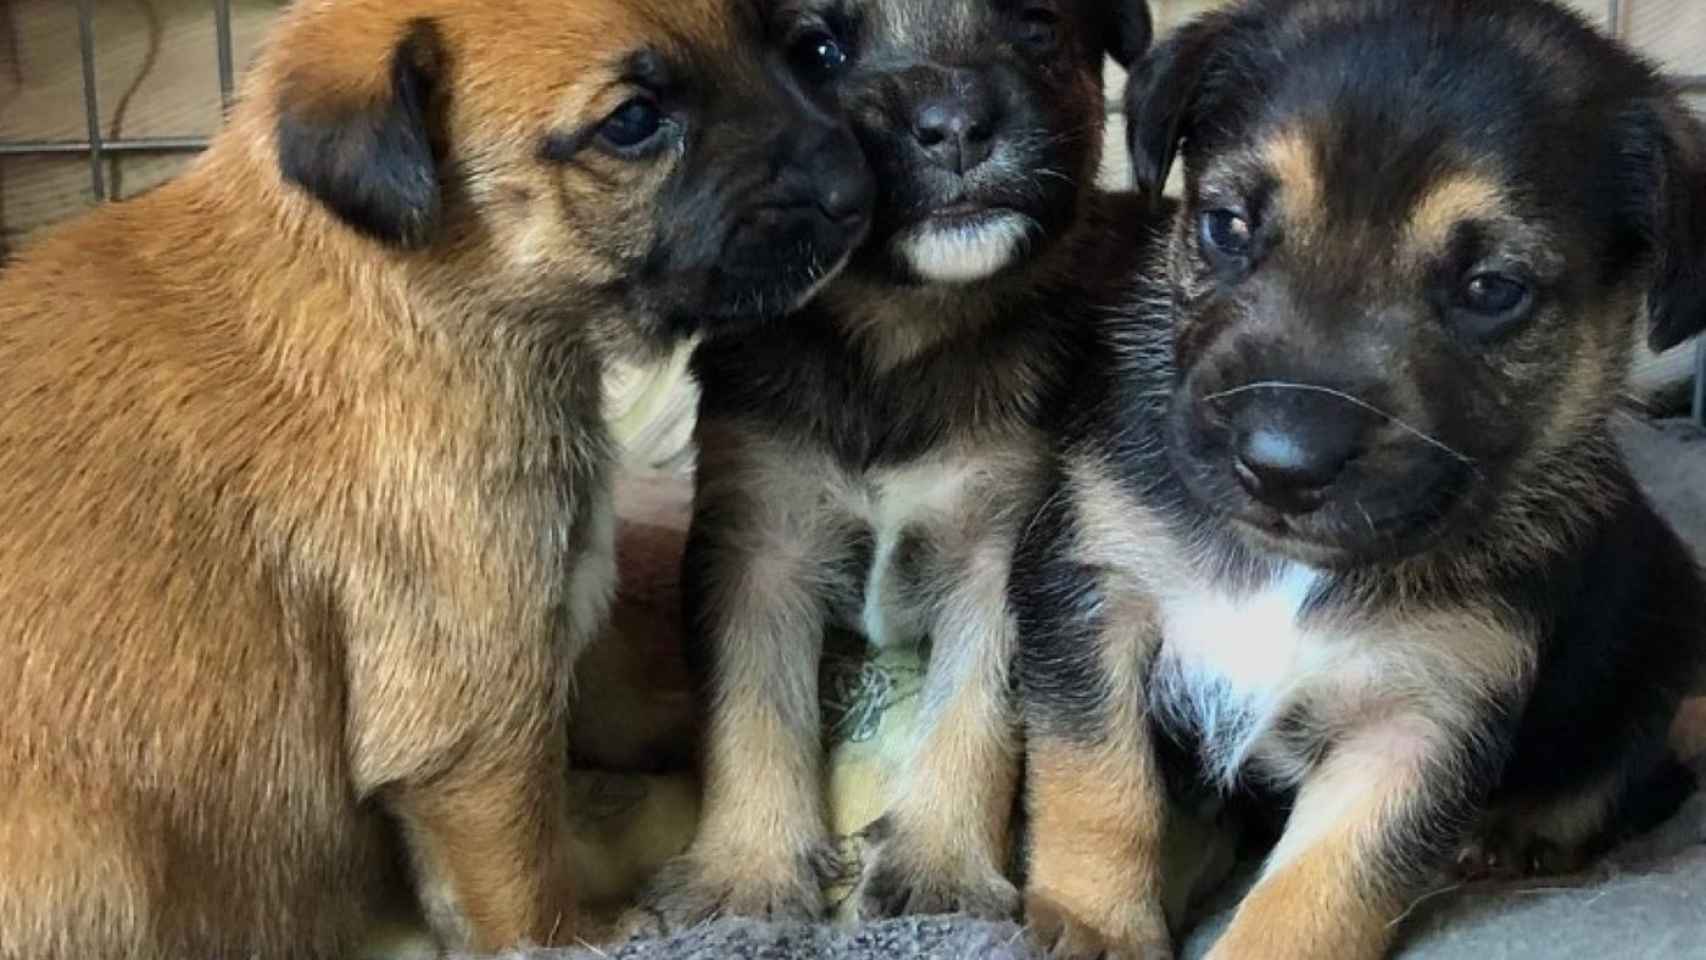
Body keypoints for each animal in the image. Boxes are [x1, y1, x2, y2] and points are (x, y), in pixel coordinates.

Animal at [0, 1, 866, 960]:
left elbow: (613, 695)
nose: (861, 187)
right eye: (633, 121)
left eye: (773, 39)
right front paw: (590, 931)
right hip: (100, 861)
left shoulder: (548, 618)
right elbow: (526, 885)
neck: (405, 291)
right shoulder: (475, 711)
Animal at [634, 0, 1153, 934]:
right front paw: (747, 871)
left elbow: (973, 713)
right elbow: (752, 711)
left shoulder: (1001, 557)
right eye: (816, 51)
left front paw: (942, 864)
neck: (898, 336)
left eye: (1036, 29)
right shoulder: (757, 547)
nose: (956, 126)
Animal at [1009, 1, 1706, 960]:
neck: (1290, 568)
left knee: (1631, 775)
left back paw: (1518, 834)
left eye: (1493, 290)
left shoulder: (1421, 720)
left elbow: (1320, 892)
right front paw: (1095, 922)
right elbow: (1096, 776)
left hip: (1656, 653)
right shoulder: (1092, 590)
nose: (1280, 466)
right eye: (1227, 225)